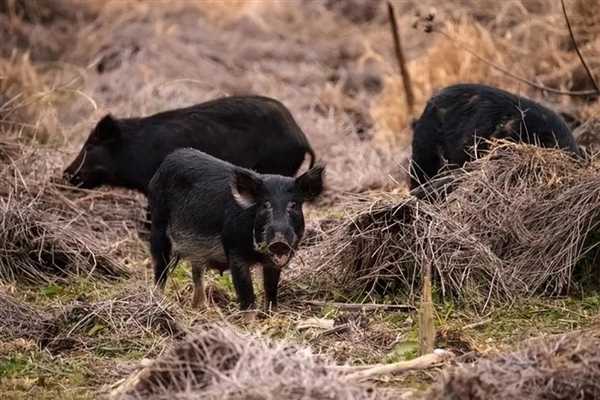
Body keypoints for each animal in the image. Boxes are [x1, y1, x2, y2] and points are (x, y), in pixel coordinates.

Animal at [149, 148, 324, 310]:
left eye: (293, 205)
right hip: (158, 223)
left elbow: (271, 290)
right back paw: (158, 301)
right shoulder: (234, 252)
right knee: (160, 268)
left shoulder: (272, 263)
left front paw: (270, 312)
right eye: (265, 204)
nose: (279, 241)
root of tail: (170, 157)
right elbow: (246, 295)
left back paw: (200, 307)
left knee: (197, 273)